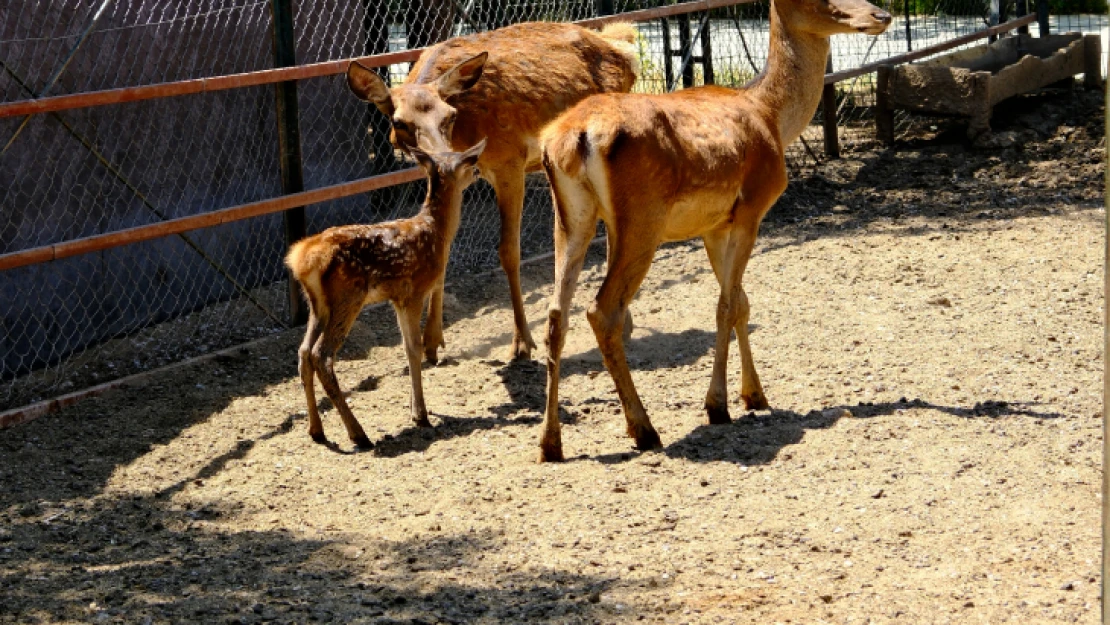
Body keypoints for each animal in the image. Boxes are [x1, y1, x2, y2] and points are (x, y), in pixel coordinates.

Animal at [286, 140, 486, 450]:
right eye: (466, 161)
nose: (478, 171)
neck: (436, 233)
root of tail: (303, 259)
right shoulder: (415, 290)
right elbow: (415, 348)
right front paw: (421, 415)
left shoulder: (397, 299)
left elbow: (406, 348)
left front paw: (415, 409)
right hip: (348, 297)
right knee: (321, 355)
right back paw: (358, 434)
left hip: (318, 305)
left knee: (304, 352)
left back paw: (317, 431)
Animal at [346, 22, 643, 361]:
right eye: (399, 122)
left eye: (449, 116)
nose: (444, 159)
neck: (465, 133)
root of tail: (624, 46)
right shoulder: (458, 175)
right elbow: (444, 243)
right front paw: (432, 341)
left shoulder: (508, 162)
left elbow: (509, 251)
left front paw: (522, 342)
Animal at [537, 0, 892, 461]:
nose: (882, 15)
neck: (771, 117)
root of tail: (574, 137)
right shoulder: (752, 209)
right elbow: (726, 304)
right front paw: (718, 405)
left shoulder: (712, 226)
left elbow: (741, 302)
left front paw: (754, 395)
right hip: (642, 220)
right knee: (603, 310)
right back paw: (645, 430)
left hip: (571, 217)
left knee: (556, 314)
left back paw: (550, 443)